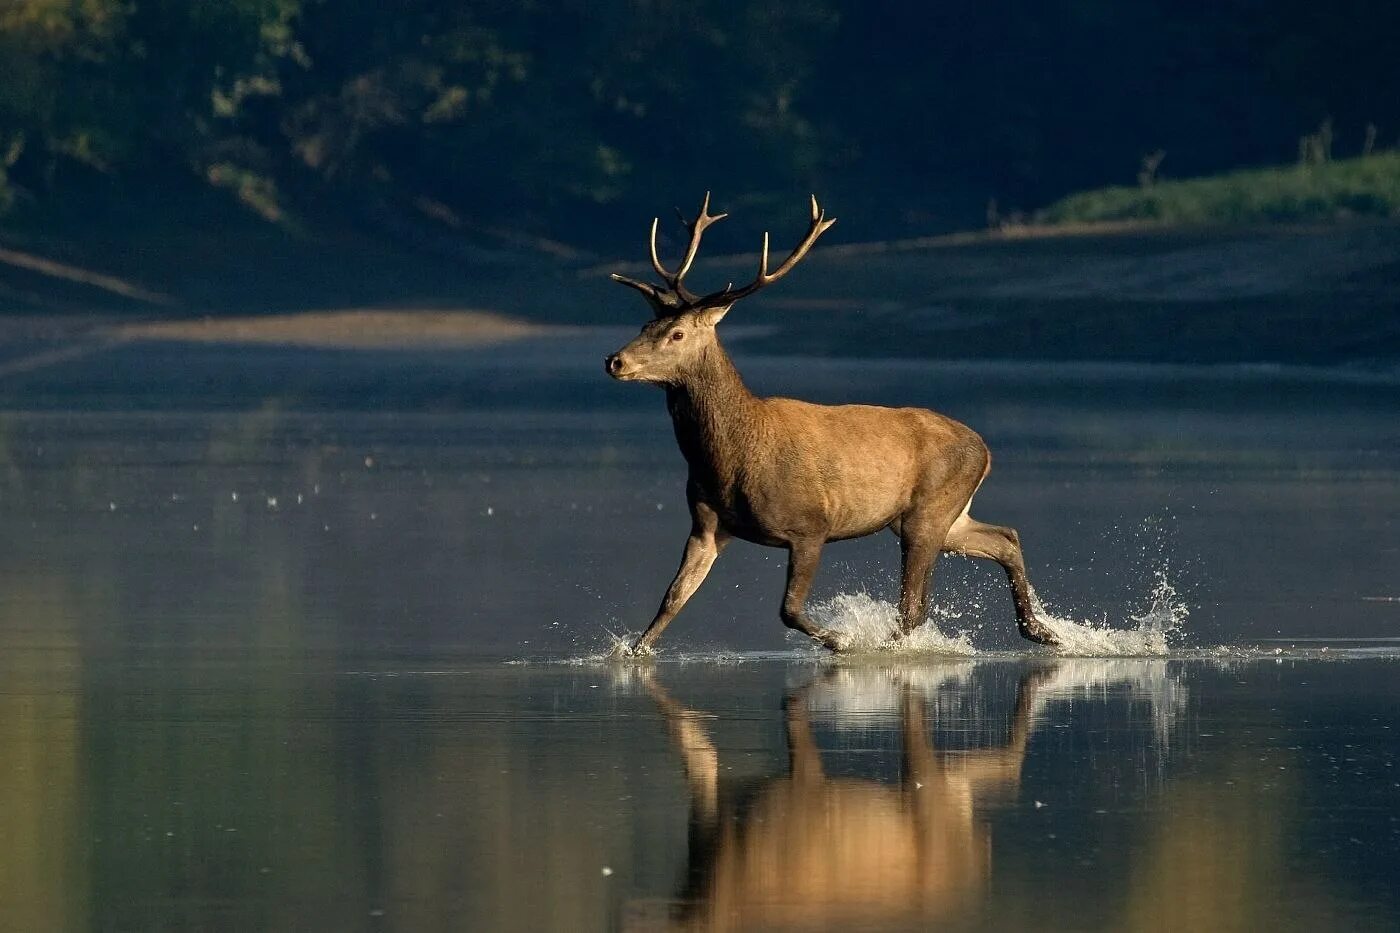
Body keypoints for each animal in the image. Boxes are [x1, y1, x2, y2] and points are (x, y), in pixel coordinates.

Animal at [604, 191, 1058, 650]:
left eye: (677, 333)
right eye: (646, 323)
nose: (615, 360)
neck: (728, 460)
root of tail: (985, 449)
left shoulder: (810, 526)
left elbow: (789, 609)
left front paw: (840, 639)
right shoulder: (706, 525)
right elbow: (672, 599)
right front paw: (632, 651)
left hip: (930, 509)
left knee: (914, 606)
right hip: (937, 515)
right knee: (1005, 537)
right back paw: (1042, 631)